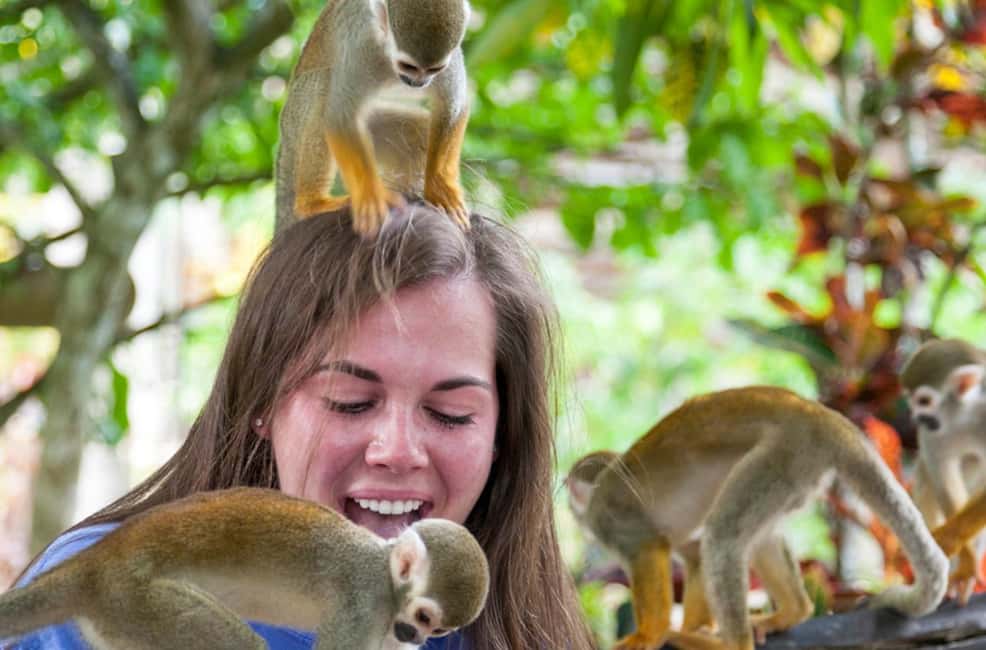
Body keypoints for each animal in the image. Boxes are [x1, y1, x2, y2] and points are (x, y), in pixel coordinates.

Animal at [0, 487, 489, 650]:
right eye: (423, 616)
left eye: (438, 630)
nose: (415, 636)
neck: (388, 582)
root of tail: (97, 561)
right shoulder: (362, 603)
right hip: (138, 600)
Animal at [275, 0, 472, 237]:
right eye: (409, 66)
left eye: (434, 69)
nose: (419, 82)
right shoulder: (361, 47)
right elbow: (341, 116)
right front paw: (370, 198)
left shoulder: (450, 59)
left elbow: (453, 105)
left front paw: (440, 189)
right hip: (295, 120)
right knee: (323, 83)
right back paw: (312, 203)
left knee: (417, 133)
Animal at [566, 386, 948, 650]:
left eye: (570, 488)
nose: (568, 504)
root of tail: (826, 418)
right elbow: (693, 554)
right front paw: (695, 626)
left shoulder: (611, 519)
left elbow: (650, 546)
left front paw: (651, 633)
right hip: (800, 473)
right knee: (753, 535)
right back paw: (793, 611)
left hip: (786, 453)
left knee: (723, 536)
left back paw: (730, 644)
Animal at [900, 338, 986, 599]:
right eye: (911, 400)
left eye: (924, 401)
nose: (916, 417)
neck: (965, 414)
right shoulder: (934, 430)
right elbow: (941, 473)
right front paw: (966, 561)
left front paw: (949, 539)